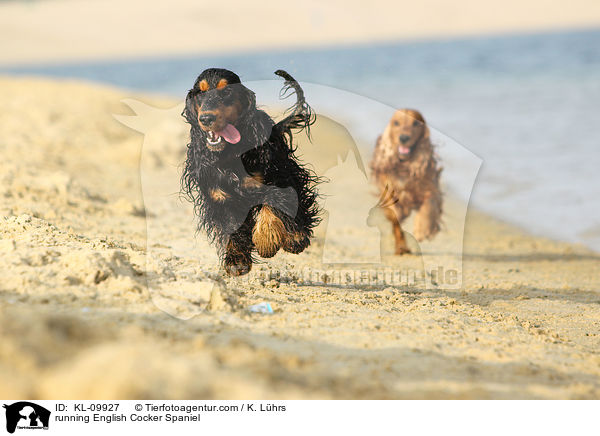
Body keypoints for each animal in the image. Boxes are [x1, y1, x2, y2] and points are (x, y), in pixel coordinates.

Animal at [179, 67, 318, 274]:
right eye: (200, 93)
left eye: (227, 91)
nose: (206, 118)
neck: (230, 154)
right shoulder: (220, 197)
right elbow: (233, 226)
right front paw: (236, 260)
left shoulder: (276, 177)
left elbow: (272, 205)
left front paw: (266, 240)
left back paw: (296, 238)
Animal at [368, 107, 442, 254]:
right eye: (396, 123)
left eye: (416, 123)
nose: (403, 138)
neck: (405, 166)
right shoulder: (391, 195)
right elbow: (396, 218)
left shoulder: (431, 188)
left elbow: (428, 206)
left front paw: (421, 230)